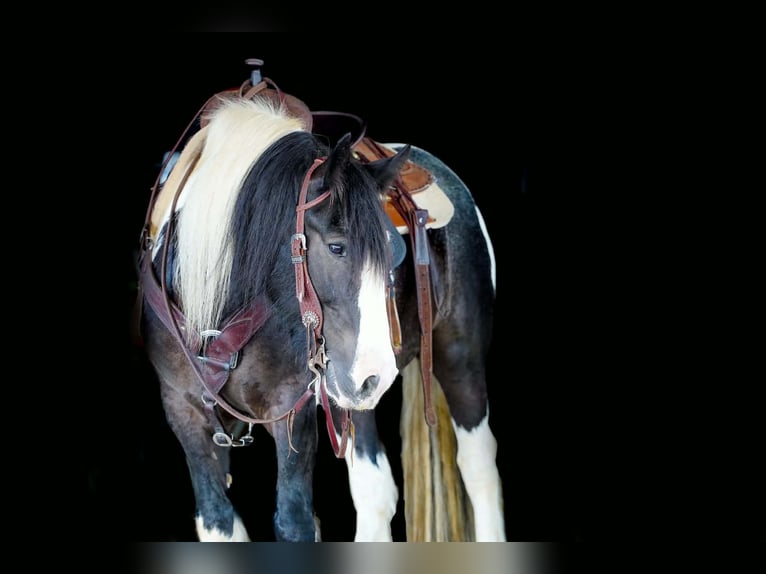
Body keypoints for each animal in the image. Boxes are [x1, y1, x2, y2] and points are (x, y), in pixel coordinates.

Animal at [134, 67, 506, 542]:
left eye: (394, 252)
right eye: (336, 247)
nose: (375, 375)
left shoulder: (292, 409)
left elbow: (294, 521)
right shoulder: (183, 410)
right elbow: (218, 520)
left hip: (454, 360)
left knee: (478, 468)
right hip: (350, 394)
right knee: (376, 490)